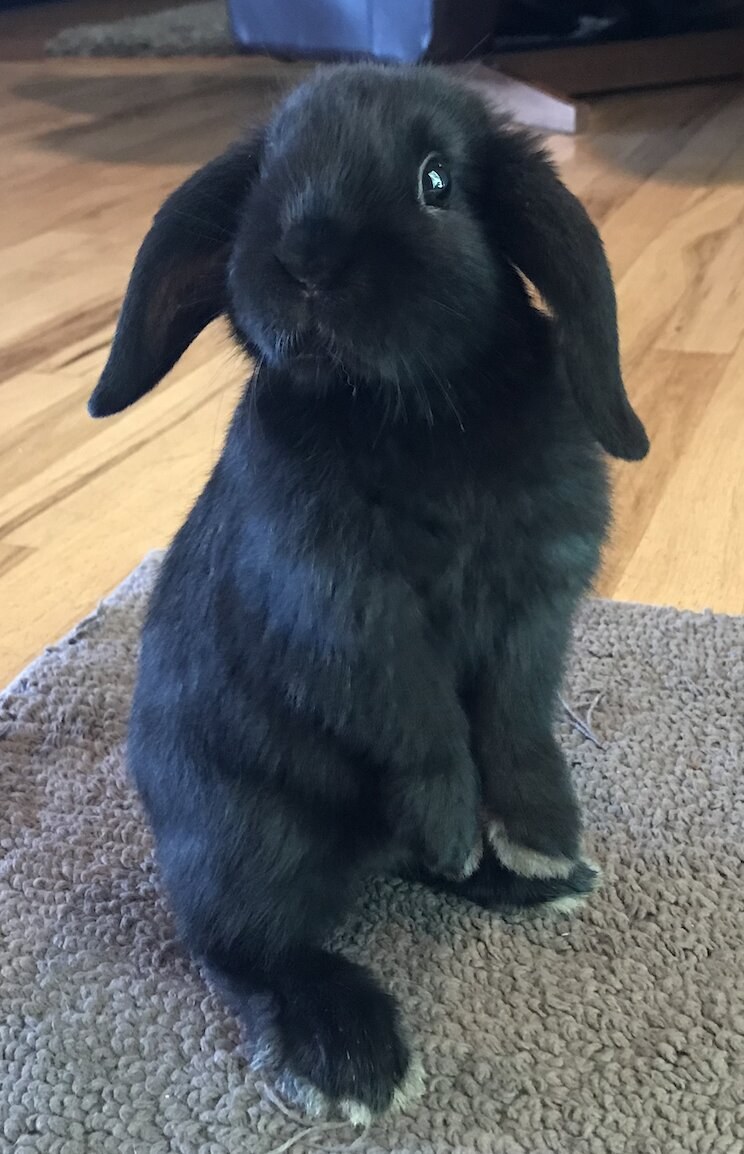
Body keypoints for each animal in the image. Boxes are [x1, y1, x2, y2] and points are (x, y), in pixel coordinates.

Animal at [87, 63, 648, 1121]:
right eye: (267, 173)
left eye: (437, 181)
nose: (306, 260)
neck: (406, 411)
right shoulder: (343, 614)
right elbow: (420, 723)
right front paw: (456, 826)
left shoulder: (536, 604)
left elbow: (514, 721)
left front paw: (539, 836)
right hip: (251, 834)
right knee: (244, 945)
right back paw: (351, 1054)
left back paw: (524, 882)